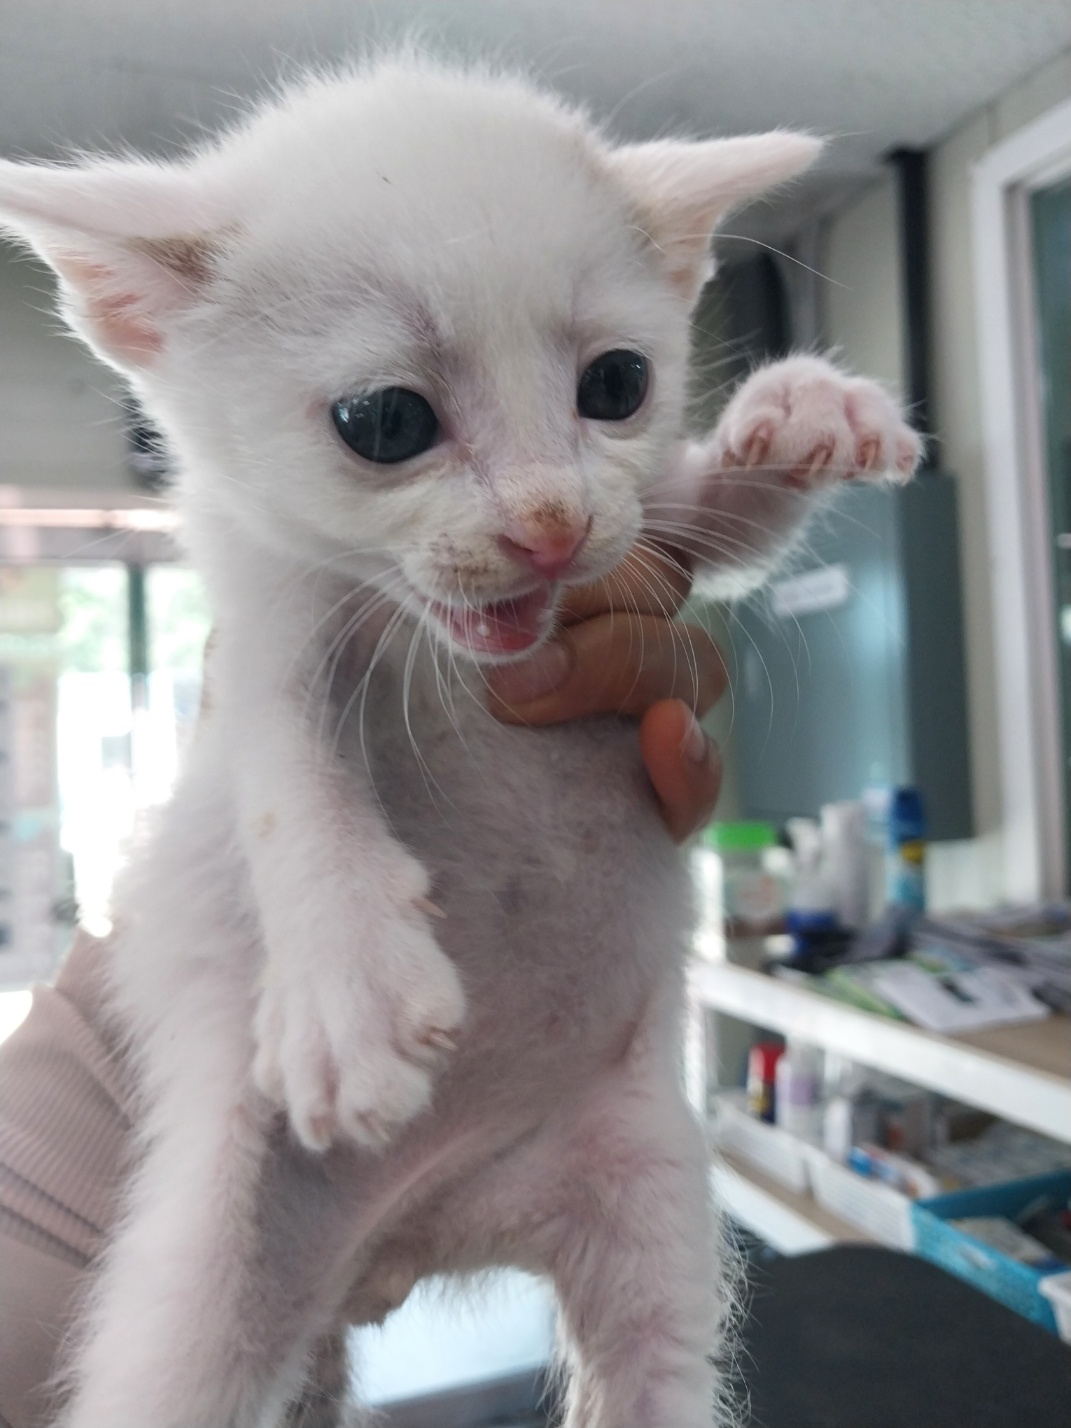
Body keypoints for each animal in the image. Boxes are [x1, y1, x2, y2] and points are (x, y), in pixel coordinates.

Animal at [0, 55, 925, 1428]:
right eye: (387, 421)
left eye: (618, 386)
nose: (549, 526)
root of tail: (410, 1241)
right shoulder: (260, 627)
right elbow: (283, 768)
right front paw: (347, 975)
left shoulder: (640, 545)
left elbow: (710, 519)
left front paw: (805, 413)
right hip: (201, 1277)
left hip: (643, 1190)